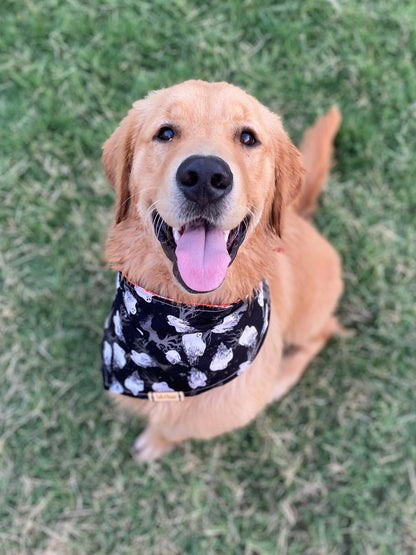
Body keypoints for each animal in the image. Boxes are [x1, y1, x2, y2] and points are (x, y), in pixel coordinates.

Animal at [102, 78, 342, 462]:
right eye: (165, 132)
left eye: (247, 137)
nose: (204, 176)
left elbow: (173, 429)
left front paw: (156, 443)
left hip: (309, 318)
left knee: (325, 332)